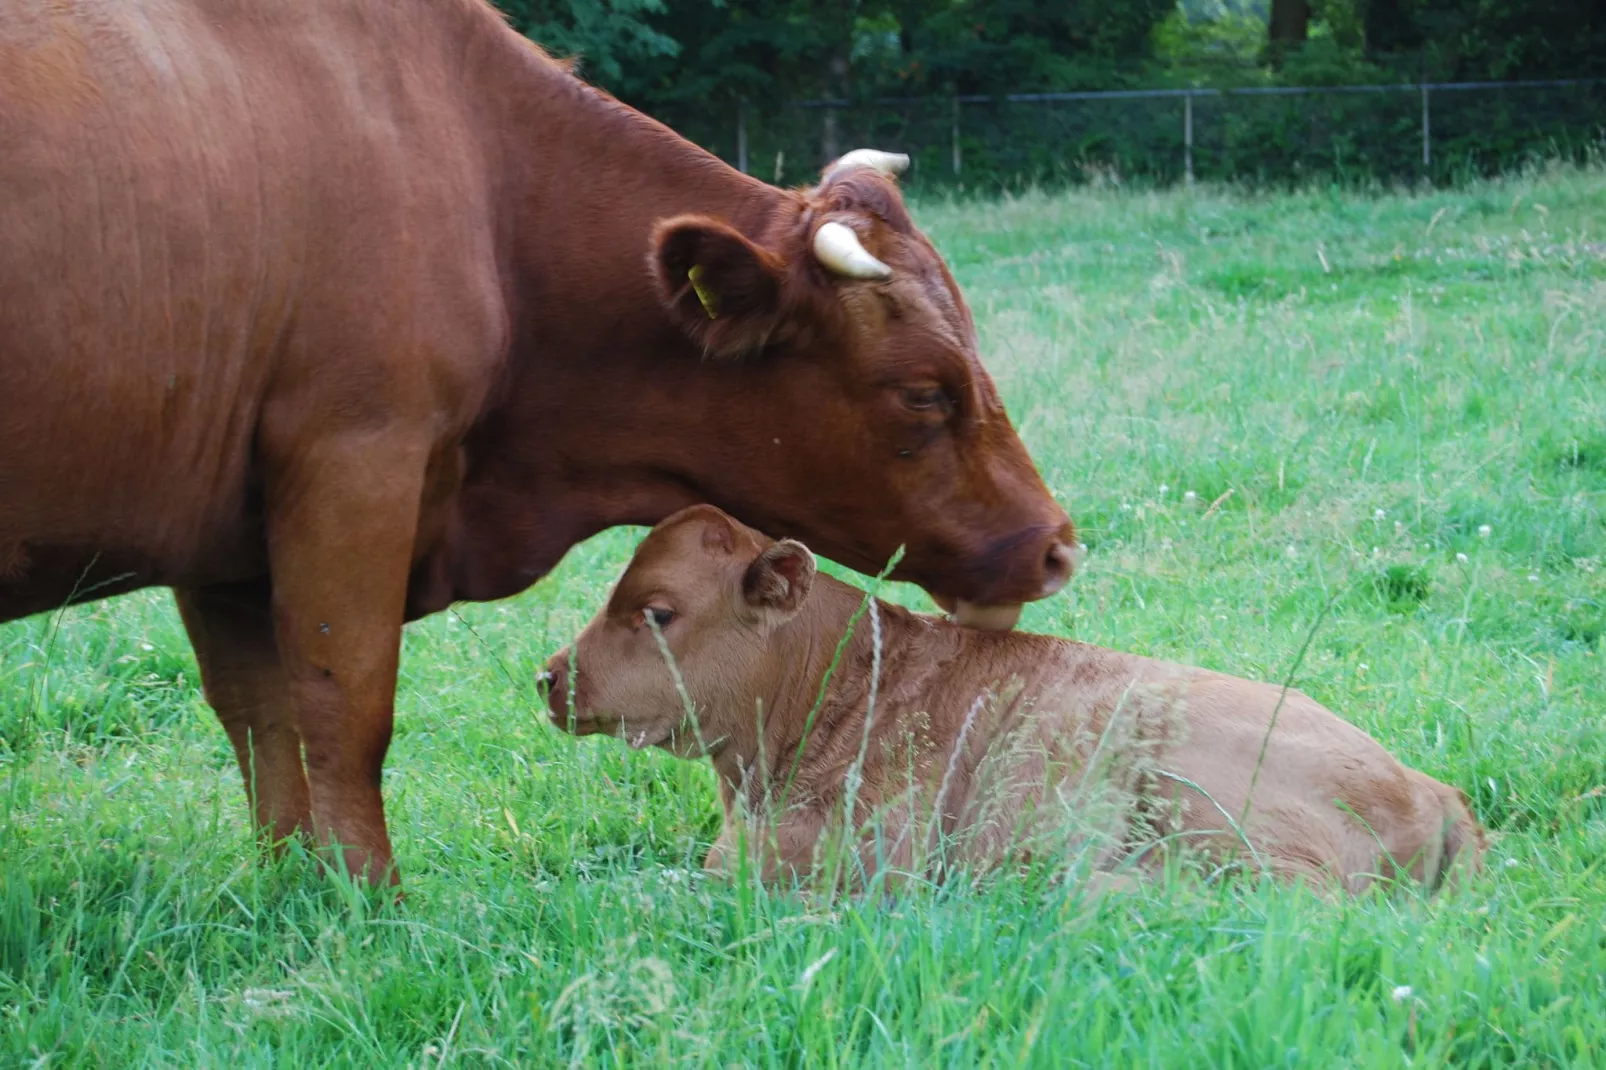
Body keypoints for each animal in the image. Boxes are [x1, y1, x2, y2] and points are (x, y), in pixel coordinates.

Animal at [6, 2, 1079, 880]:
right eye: (924, 391)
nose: (1057, 547)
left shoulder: (226, 533)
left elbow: (259, 718)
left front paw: (286, 888)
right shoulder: (354, 463)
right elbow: (344, 708)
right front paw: (368, 902)